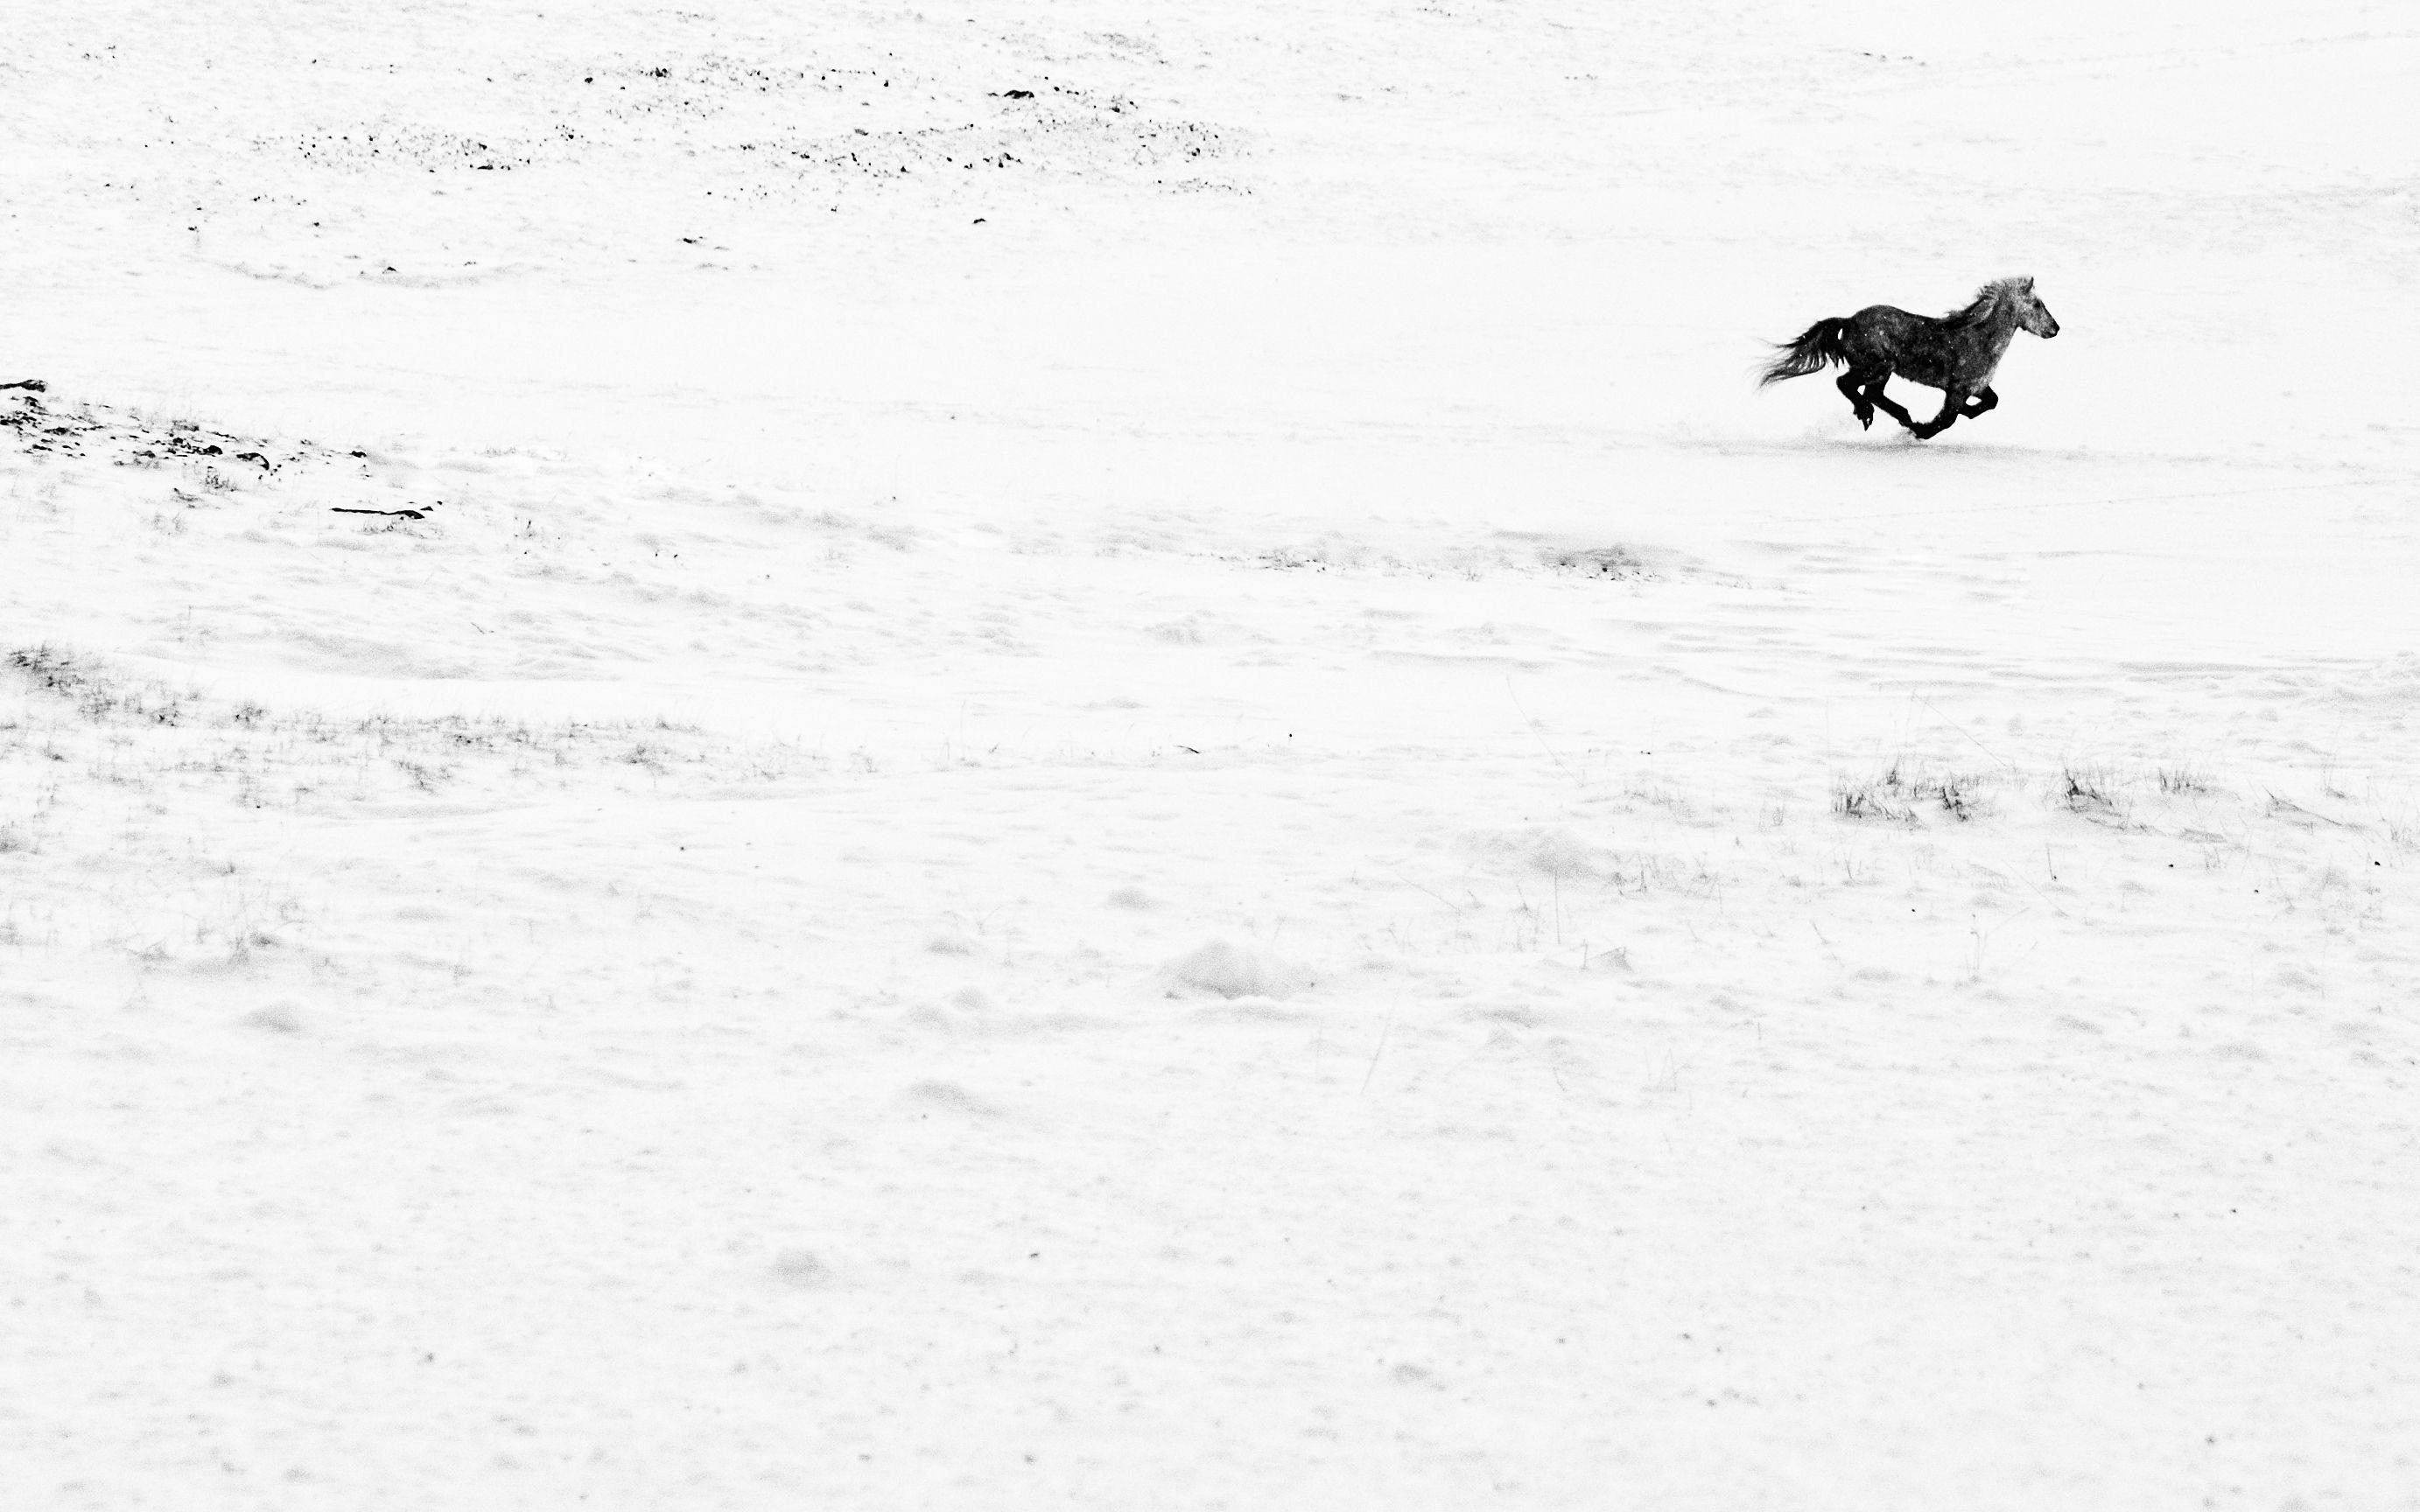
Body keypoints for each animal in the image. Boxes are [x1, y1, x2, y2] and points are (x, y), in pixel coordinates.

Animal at [1759, 277, 2057, 439]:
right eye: (2037, 304)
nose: (2055, 329)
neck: (1979, 338)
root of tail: (1849, 321)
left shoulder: (1976, 386)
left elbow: (1991, 403)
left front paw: (1947, 418)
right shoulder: (1957, 388)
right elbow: (1947, 419)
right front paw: (1920, 432)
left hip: (1882, 371)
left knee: (1871, 394)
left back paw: (1892, 415)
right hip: (1878, 366)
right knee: (1847, 384)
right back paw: (1872, 415)